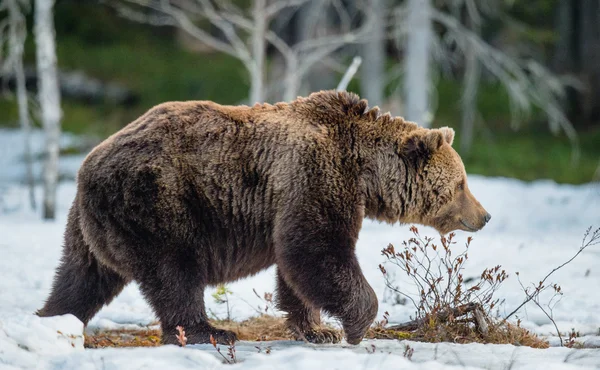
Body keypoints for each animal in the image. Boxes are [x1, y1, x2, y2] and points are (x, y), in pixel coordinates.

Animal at [37, 91, 490, 346]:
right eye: (462, 183)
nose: (484, 216)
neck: (363, 171)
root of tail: (86, 166)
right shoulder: (315, 176)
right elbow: (317, 250)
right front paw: (355, 325)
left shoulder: (297, 195)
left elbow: (297, 268)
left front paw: (318, 330)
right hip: (157, 202)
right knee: (174, 273)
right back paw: (207, 331)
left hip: (90, 226)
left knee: (81, 278)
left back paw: (53, 319)